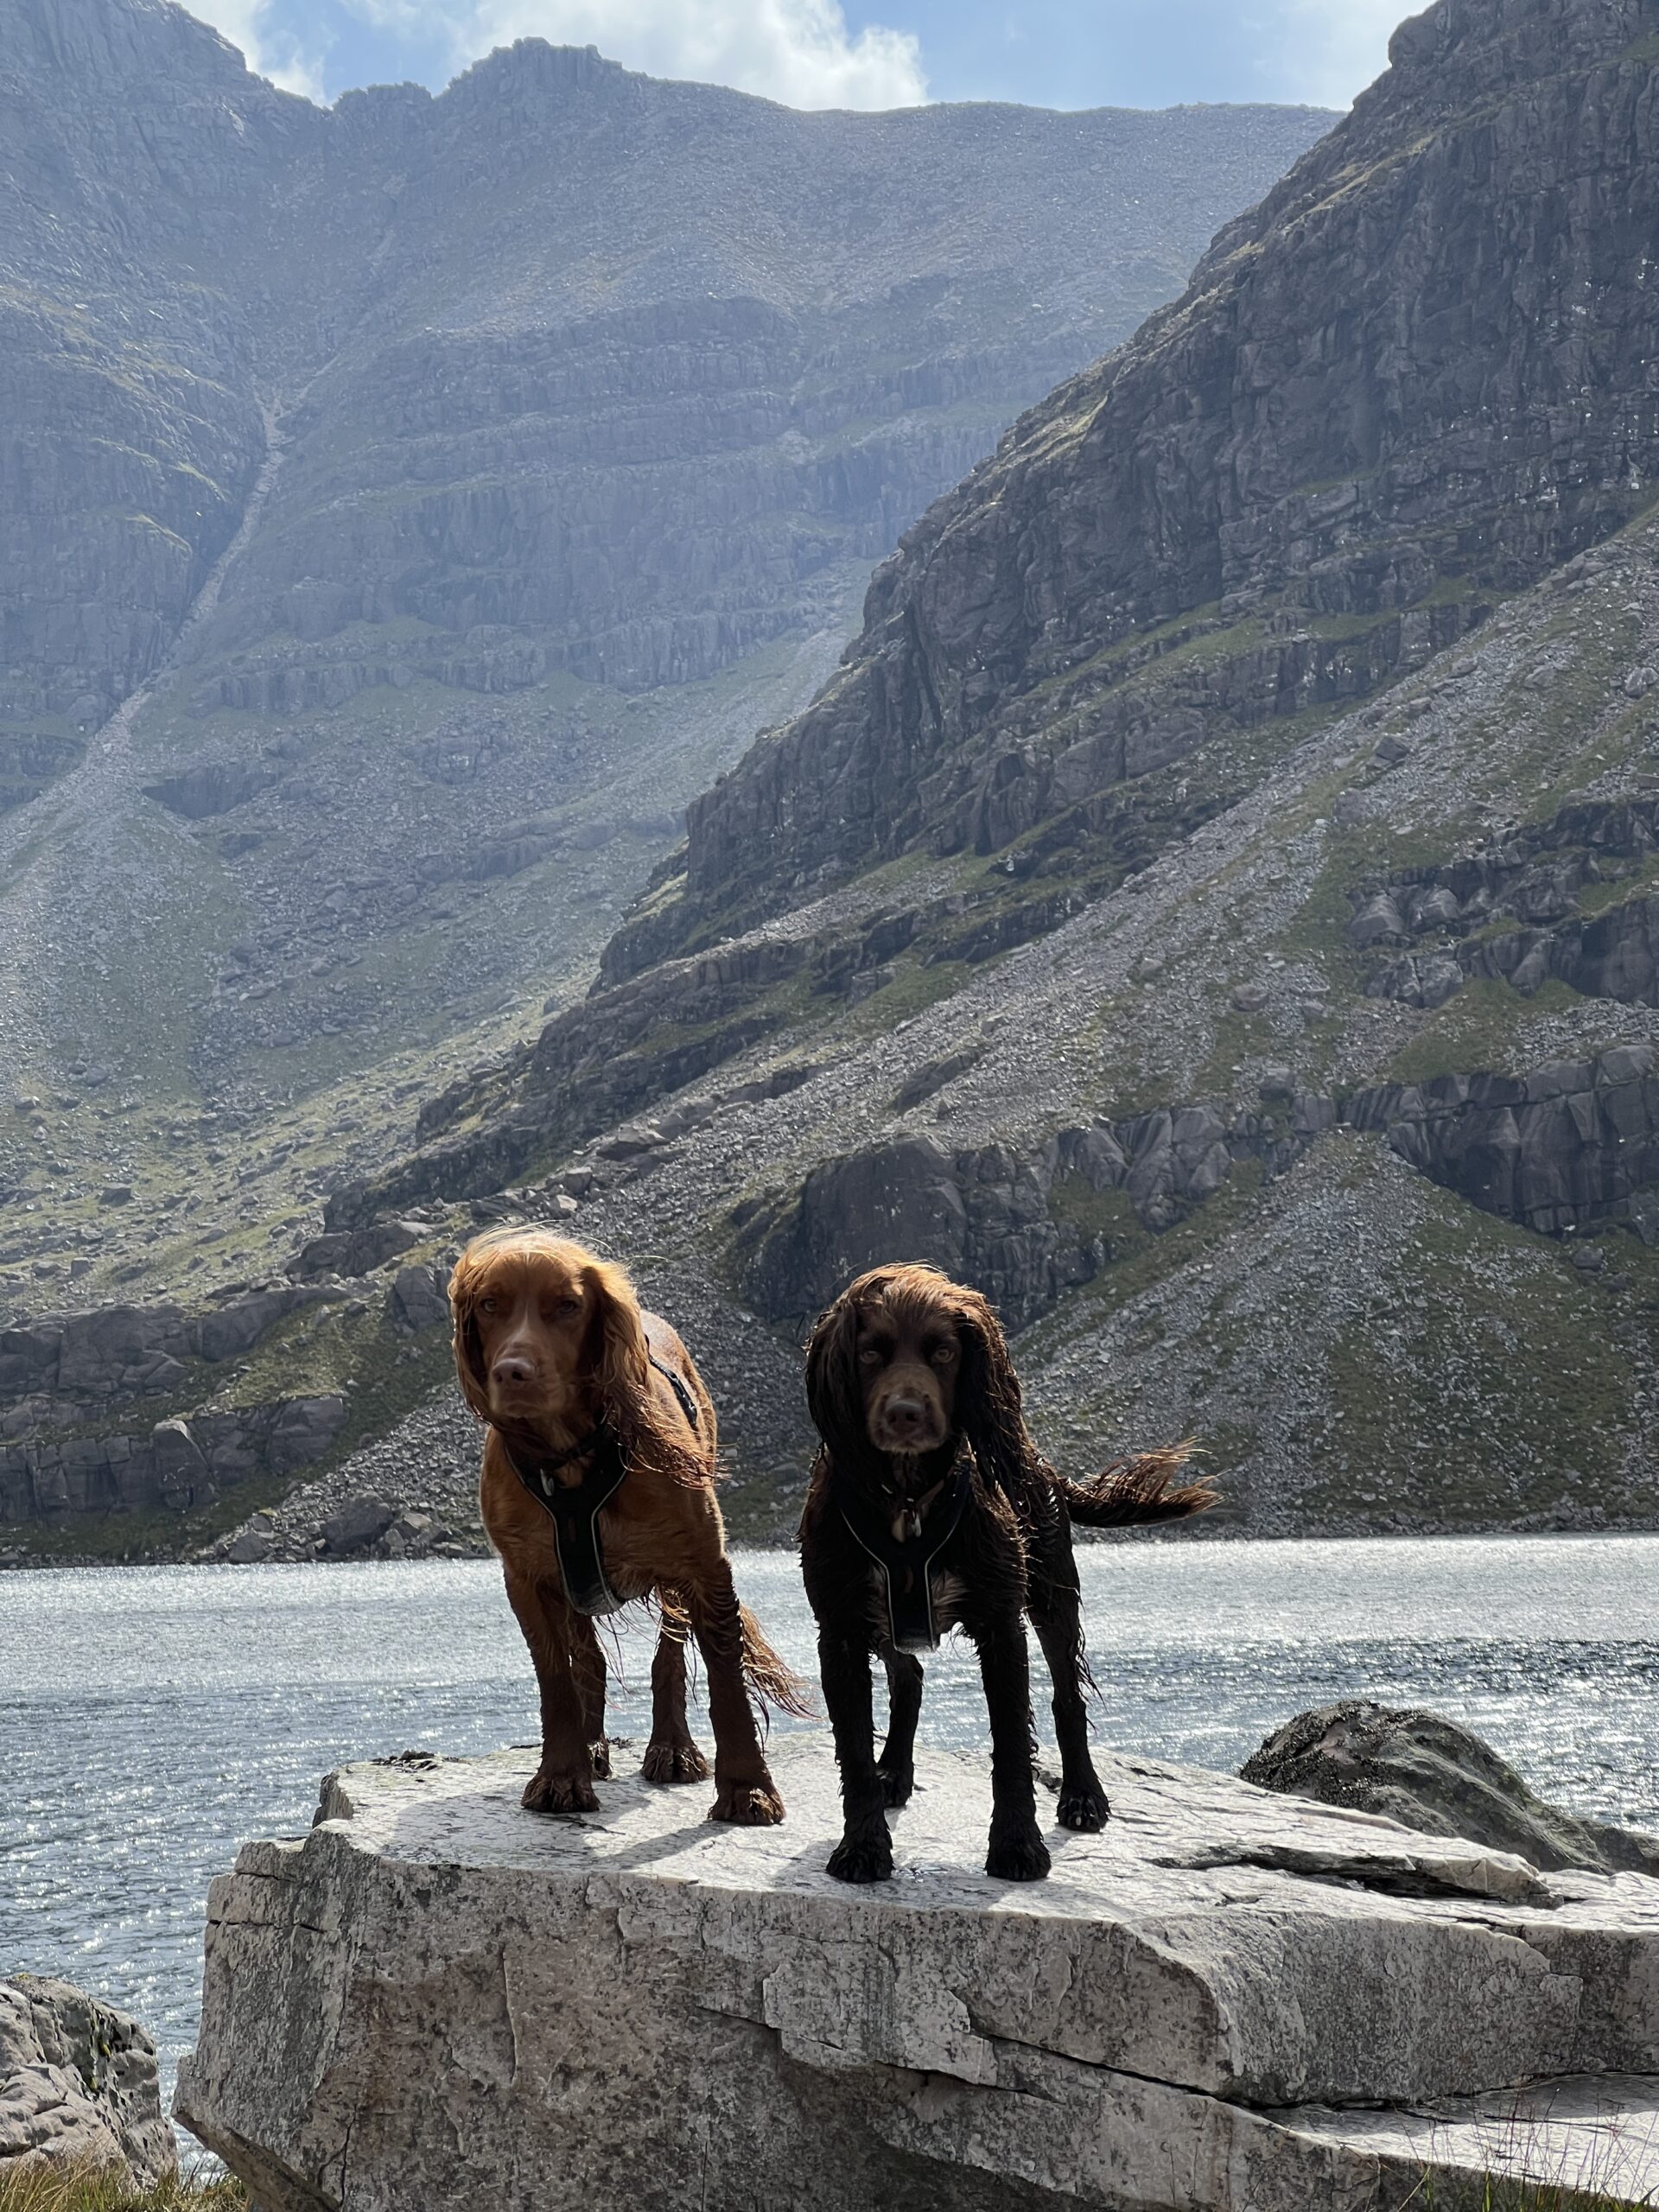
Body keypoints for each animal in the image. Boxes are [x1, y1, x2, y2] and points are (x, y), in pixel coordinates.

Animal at [448, 1230, 800, 1814]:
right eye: (490, 1305)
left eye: (568, 1306)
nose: (512, 1373)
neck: (570, 1461)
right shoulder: (527, 1578)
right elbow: (558, 1681)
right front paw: (561, 1776)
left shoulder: (704, 1564)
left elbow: (725, 1682)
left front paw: (747, 1787)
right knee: (588, 1660)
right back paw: (591, 1750)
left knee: (669, 1659)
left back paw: (673, 1748)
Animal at [800, 1265, 1211, 1885]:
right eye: (870, 1353)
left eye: (944, 1352)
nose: (904, 1414)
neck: (907, 1500)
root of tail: (1043, 1461)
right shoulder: (842, 1630)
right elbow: (853, 1751)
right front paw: (863, 1847)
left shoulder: (1000, 1623)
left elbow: (1014, 1745)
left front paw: (1017, 1846)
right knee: (909, 1680)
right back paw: (894, 1771)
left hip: (1051, 1593)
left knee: (1067, 1697)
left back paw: (1083, 1796)